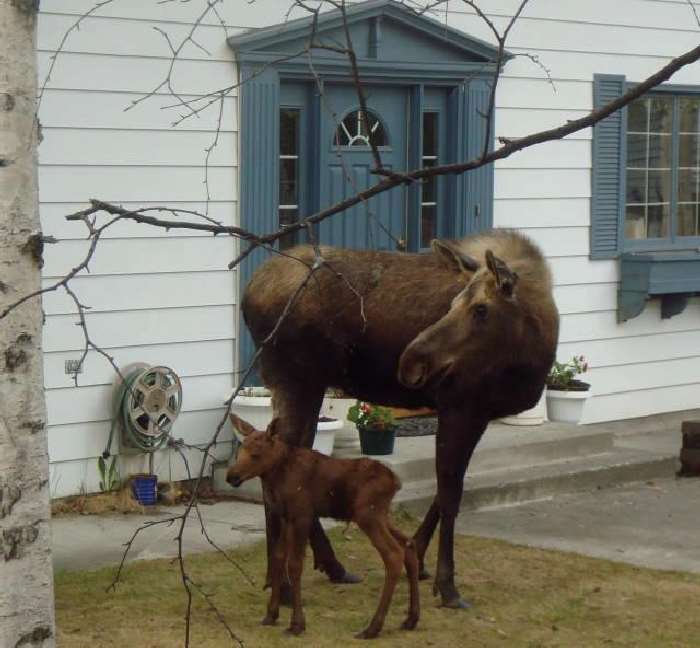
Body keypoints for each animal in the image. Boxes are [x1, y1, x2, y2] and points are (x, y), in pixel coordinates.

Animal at [227, 416, 418, 636]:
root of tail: (396, 482)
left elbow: (295, 565)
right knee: (408, 544)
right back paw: (411, 619)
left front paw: (297, 624)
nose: (231, 476)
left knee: (394, 554)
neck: (276, 478)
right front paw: (271, 614)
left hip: (367, 514)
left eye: (256, 454)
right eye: (240, 450)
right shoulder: (286, 517)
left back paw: (373, 627)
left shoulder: (302, 514)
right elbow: (278, 558)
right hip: (380, 515)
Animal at [243, 230, 560, 612]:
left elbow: (445, 490)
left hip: (310, 384)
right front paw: (447, 585)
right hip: (293, 379)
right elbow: (450, 495)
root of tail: (248, 295)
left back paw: (329, 567)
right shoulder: (459, 405)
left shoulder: (477, 413)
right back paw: (287, 588)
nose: (411, 360)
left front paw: (418, 559)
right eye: (453, 303)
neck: (529, 354)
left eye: (481, 308)